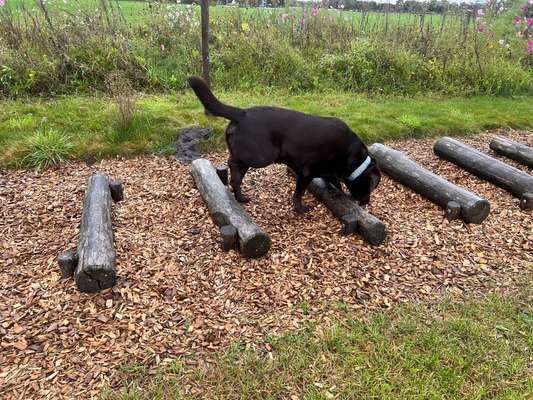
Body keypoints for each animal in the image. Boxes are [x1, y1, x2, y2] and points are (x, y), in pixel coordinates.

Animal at [187, 75, 378, 212]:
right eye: (370, 187)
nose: (366, 202)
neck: (352, 156)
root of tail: (242, 113)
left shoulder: (327, 171)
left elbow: (334, 182)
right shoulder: (306, 173)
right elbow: (299, 193)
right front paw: (300, 209)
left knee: (236, 178)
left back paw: (240, 197)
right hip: (261, 156)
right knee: (233, 161)